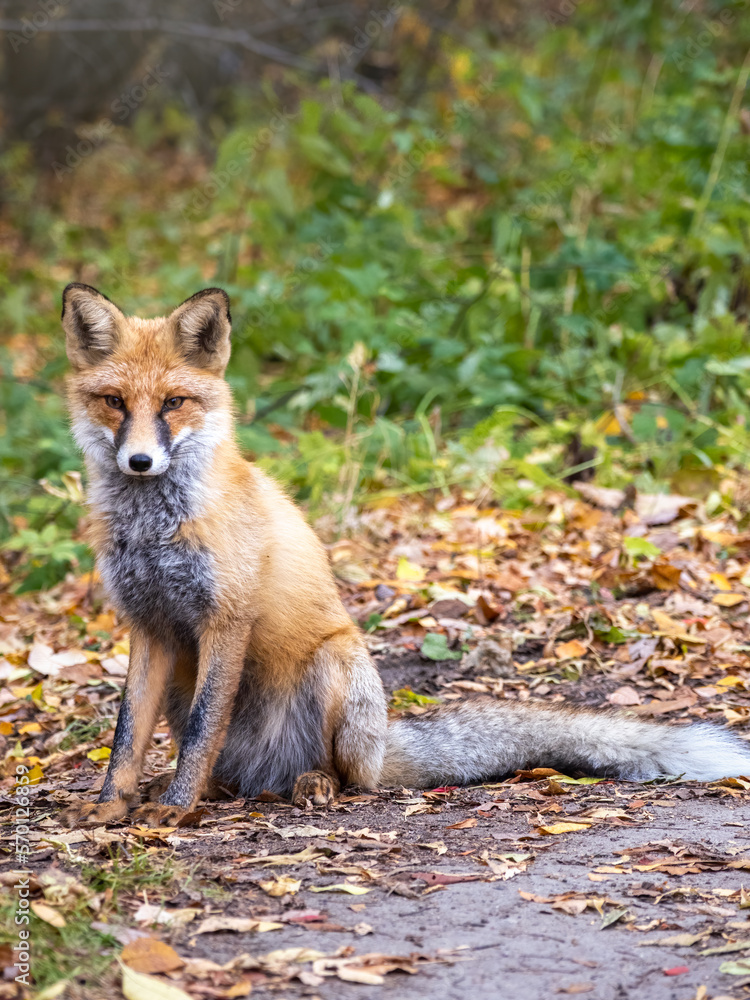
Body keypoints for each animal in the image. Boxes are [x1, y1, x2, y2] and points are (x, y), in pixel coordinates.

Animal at [60, 284, 750, 828]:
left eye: (173, 403)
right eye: (115, 402)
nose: (140, 461)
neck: (155, 530)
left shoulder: (224, 619)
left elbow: (204, 730)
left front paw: (176, 809)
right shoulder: (150, 627)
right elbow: (126, 736)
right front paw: (113, 803)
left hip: (335, 667)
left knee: (344, 778)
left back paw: (309, 784)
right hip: (190, 685)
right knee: (229, 773)